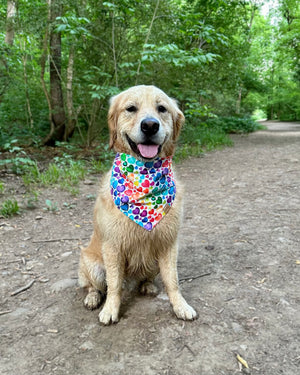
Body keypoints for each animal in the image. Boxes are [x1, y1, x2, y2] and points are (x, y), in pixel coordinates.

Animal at [78, 86, 198, 326]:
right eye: (131, 108)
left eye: (162, 108)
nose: (150, 125)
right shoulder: (112, 246)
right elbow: (114, 285)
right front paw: (110, 309)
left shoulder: (169, 243)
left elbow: (173, 280)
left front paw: (180, 305)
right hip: (92, 264)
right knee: (94, 285)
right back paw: (93, 298)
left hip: (152, 261)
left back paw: (147, 285)